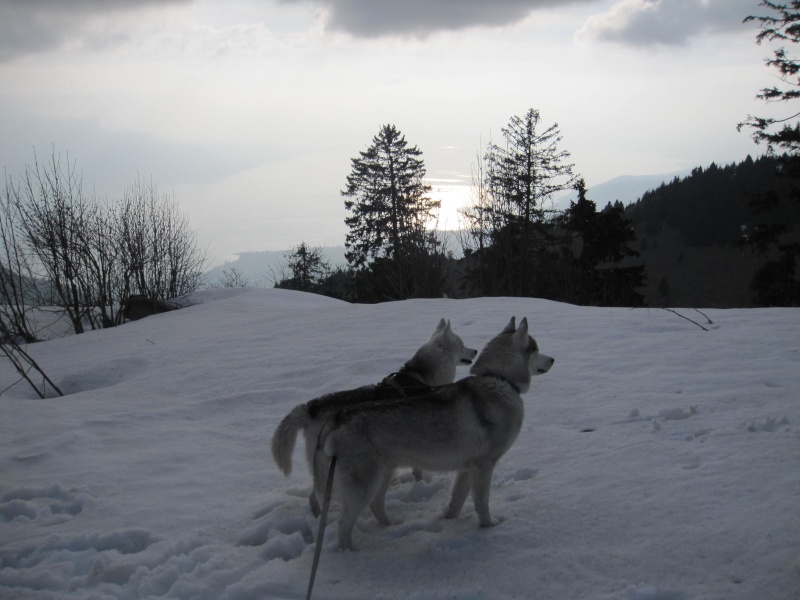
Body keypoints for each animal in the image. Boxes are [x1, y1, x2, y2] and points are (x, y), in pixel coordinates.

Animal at [272, 318, 478, 520]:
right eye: (462, 345)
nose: (475, 350)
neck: (421, 376)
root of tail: (310, 407)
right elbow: (419, 468)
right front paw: (420, 482)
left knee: (314, 494)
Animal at [318, 316, 552, 552]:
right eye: (537, 350)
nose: (553, 359)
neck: (500, 380)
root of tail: (337, 419)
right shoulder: (484, 466)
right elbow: (481, 502)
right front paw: (488, 526)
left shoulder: (467, 469)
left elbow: (457, 499)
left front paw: (448, 519)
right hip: (364, 487)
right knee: (344, 524)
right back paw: (349, 552)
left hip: (383, 475)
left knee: (376, 505)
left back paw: (391, 526)